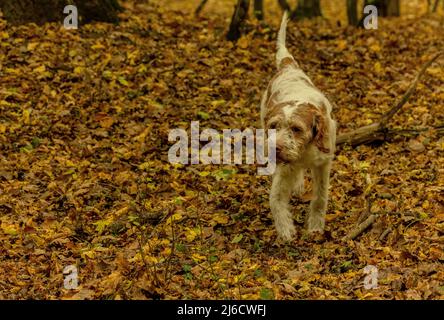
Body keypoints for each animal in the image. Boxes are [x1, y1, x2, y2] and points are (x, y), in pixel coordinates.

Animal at [258, 11, 334, 240]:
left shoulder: (324, 163)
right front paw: (285, 230)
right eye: (274, 126)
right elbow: (275, 199)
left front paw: (316, 226)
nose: (276, 148)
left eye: (297, 129)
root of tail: (287, 65)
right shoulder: (285, 168)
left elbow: (320, 198)